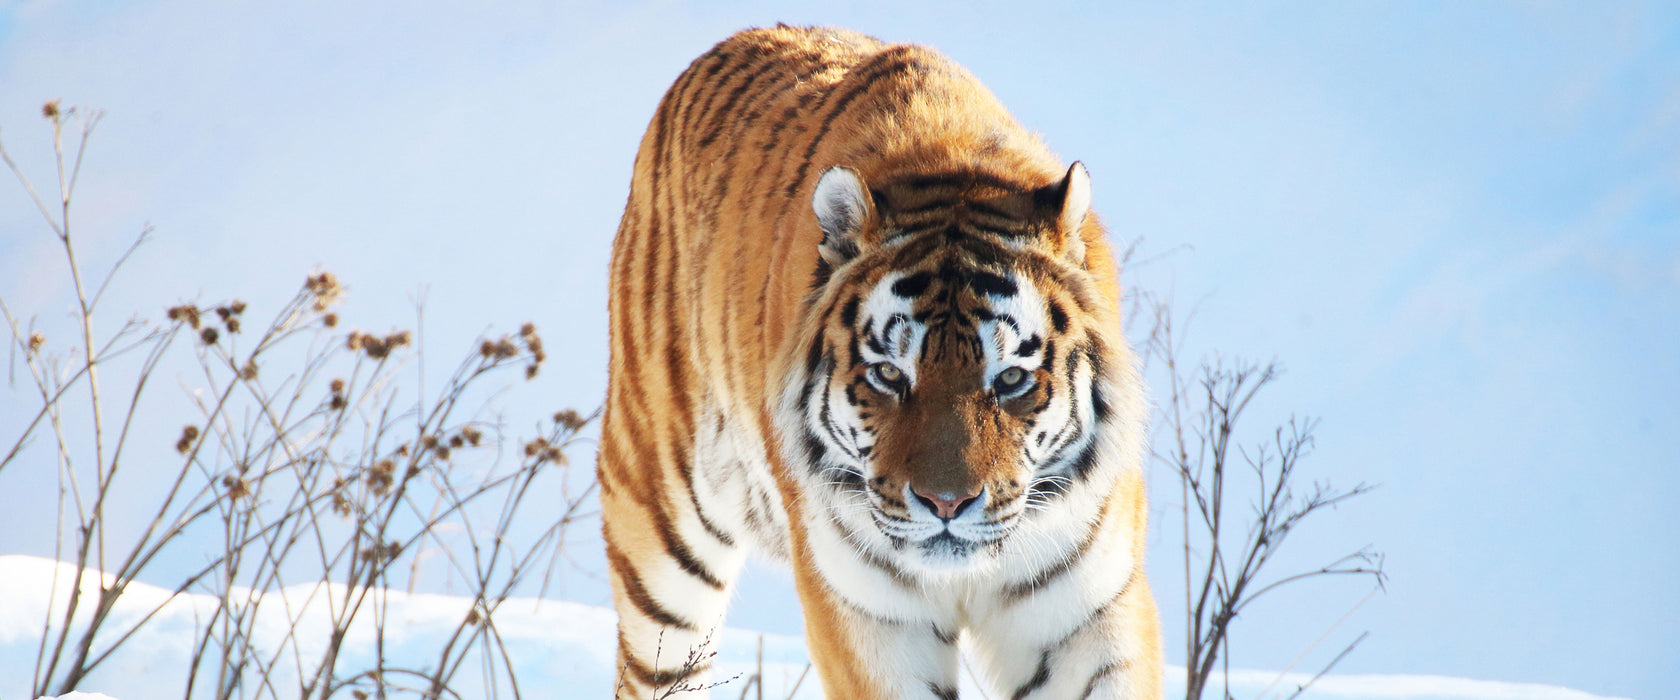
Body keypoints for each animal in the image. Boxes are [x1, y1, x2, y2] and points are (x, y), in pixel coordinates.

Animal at [598, 24, 1162, 694]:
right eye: (890, 375)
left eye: (1011, 379)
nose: (947, 505)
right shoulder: (868, 617)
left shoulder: (1088, 611)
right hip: (660, 545)